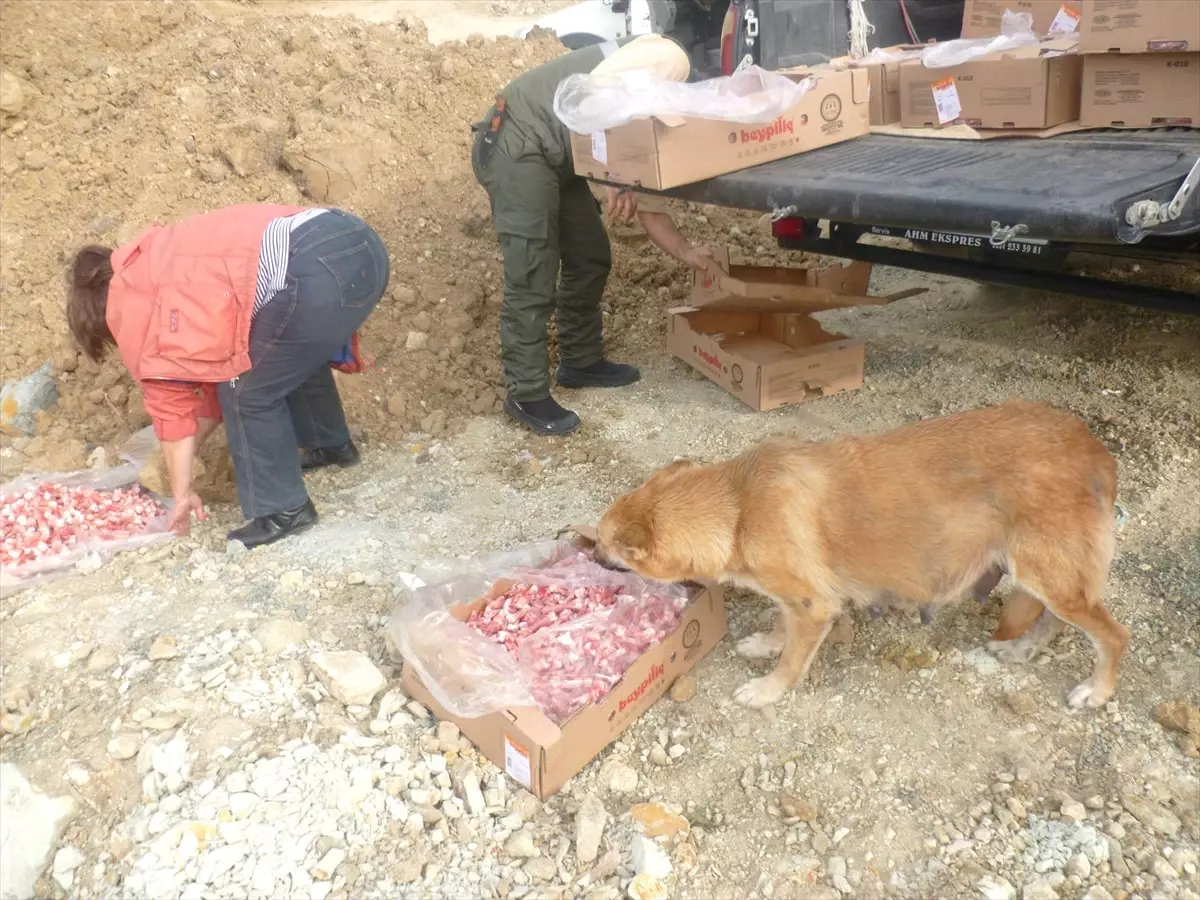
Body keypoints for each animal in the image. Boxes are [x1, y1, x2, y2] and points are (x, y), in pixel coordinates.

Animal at [595, 400, 1128, 710]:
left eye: (604, 545)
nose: (591, 556)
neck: (738, 506)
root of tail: (1092, 446)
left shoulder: (814, 605)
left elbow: (792, 658)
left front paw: (768, 688)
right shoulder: (797, 597)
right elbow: (781, 623)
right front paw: (767, 642)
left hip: (1050, 575)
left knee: (1112, 635)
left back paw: (1098, 691)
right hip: (1049, 579)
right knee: (1054, 618)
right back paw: (1024, 648)